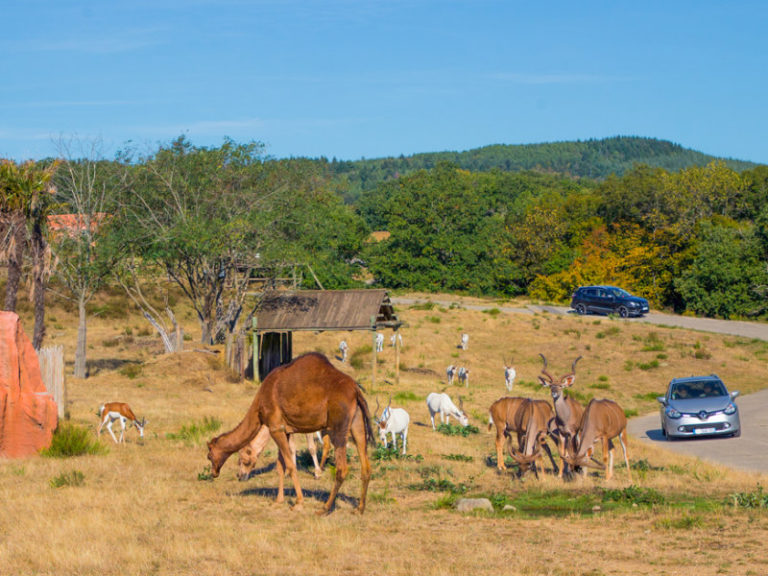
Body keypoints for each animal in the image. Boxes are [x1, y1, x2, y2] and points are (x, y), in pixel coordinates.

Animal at [207, 354, 376, 516]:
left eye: (209, 456)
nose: (214, 473)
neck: (259, 407)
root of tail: (356, 391)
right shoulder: (285, 430)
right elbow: (280, 466)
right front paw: (279, 500)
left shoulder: (275, 428)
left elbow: (290, 465)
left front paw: (298, 503)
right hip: (357, 423)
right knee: (366, 466)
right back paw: (359, 508)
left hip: (339, 426)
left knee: (341, 468)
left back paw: (325, 508)